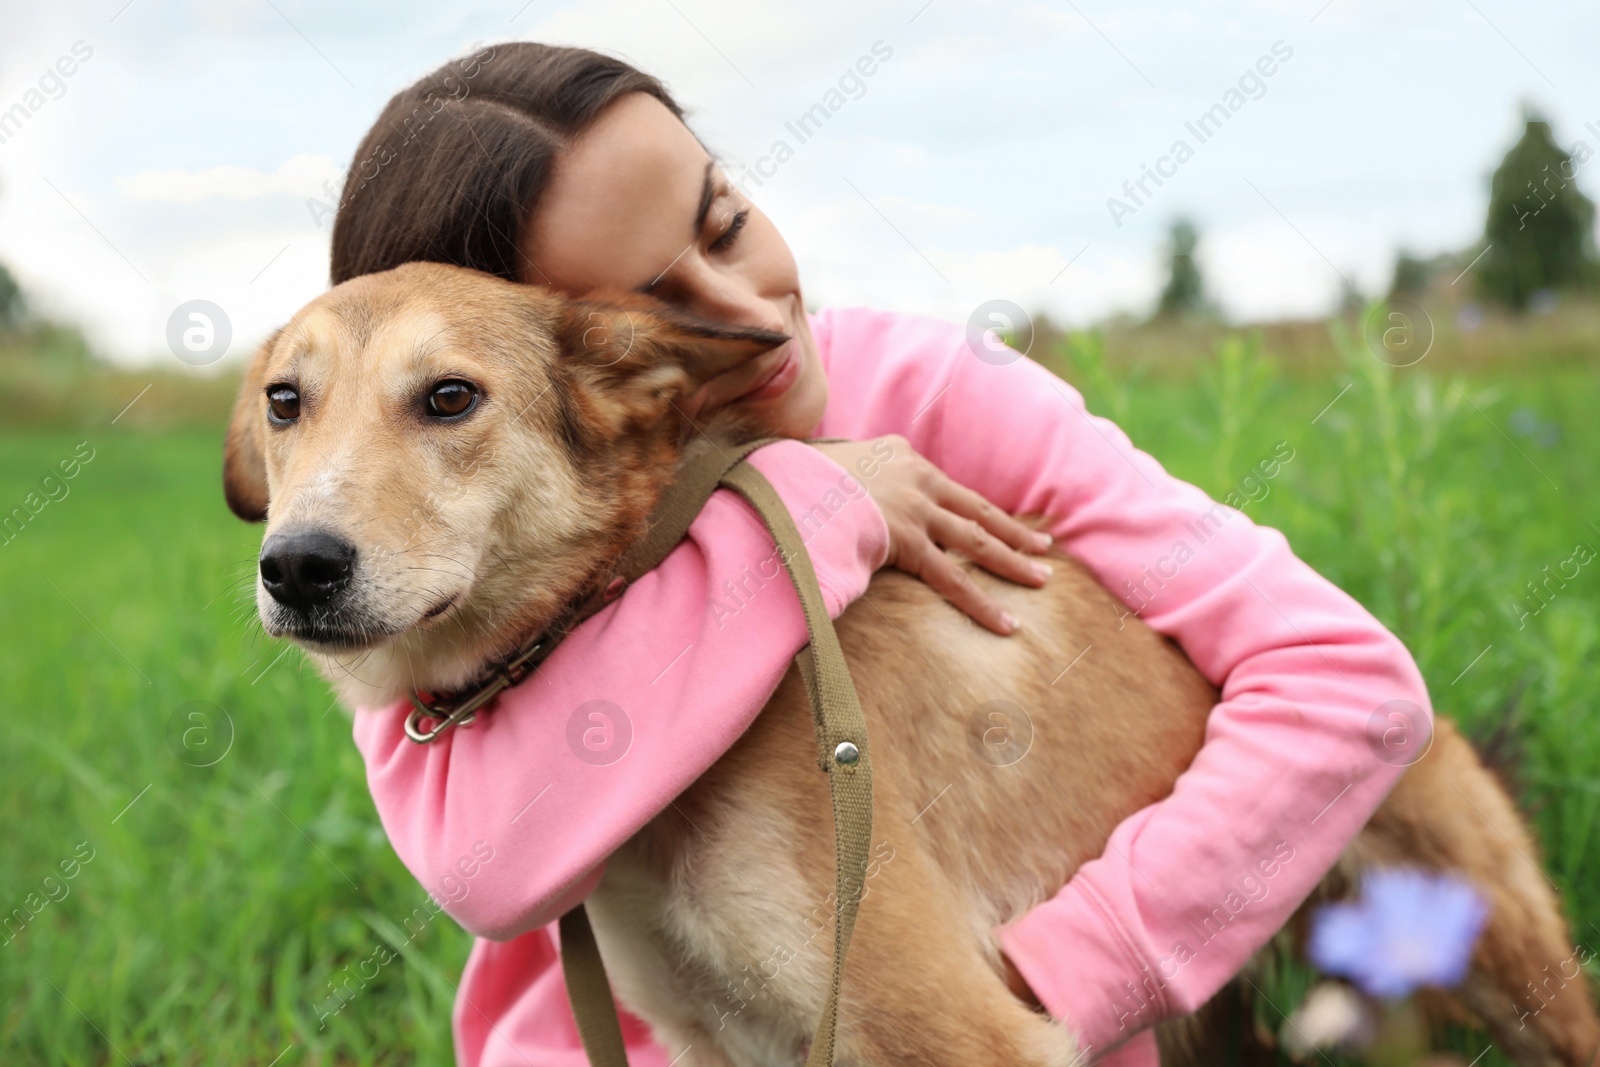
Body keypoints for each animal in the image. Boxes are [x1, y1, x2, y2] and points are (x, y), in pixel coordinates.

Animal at [225, 260, 1600, 1067]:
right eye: (287, 402)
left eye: (450, 397)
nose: (297, 566)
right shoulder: (721, 1043)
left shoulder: (959, 1028)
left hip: (1511, 958)